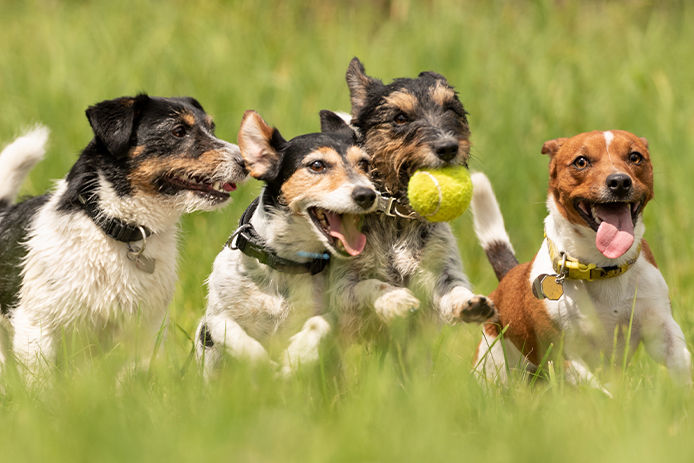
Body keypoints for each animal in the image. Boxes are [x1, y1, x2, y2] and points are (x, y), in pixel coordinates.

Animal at [0, 94, 249, 376]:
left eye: (211, 128)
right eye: (178, 131)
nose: (246, 163)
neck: (119, 231)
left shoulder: (145, 331)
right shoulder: (36, 327)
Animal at [196, 110, 380, 378]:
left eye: (364, 164)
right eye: (317, 165)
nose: (367, 194)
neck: (284, 262)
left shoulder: (333, 310)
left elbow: (320, 323)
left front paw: (295, 357)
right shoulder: (215, 319)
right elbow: (234, 334)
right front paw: (264, 365)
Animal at [326, 58, 494, 340]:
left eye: (451, 109)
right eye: (400, 117)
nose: (448, 148)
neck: (398, 217)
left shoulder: (441, 269)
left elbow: (454, 288)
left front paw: (469, 303)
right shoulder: (341, 286)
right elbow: (371, 284)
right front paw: (395, 300)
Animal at [470, 130, 692, 392]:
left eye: (635, 157)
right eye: (581, 161)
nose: (619, 181)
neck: (603, 267)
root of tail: (509, 275)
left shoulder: (661, 328)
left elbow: (681, 363)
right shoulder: (563, 355)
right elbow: (599, 391)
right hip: (494, 363)